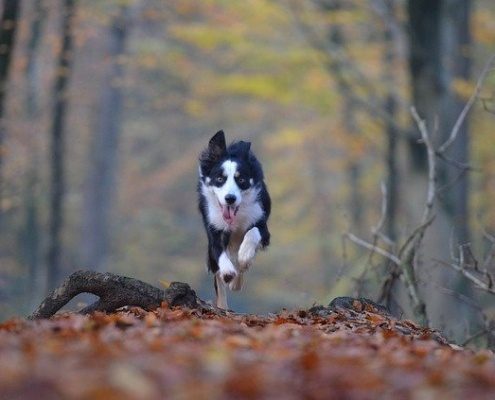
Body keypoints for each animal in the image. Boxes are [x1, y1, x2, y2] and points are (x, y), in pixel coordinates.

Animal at [198, 130, 272, 308]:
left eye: (241, 180)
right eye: (220, 179)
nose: (230, 198)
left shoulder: (262, 223)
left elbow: (253, 233)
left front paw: (245, 256)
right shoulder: (214, 227)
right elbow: (218, 252)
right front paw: (228, 271)